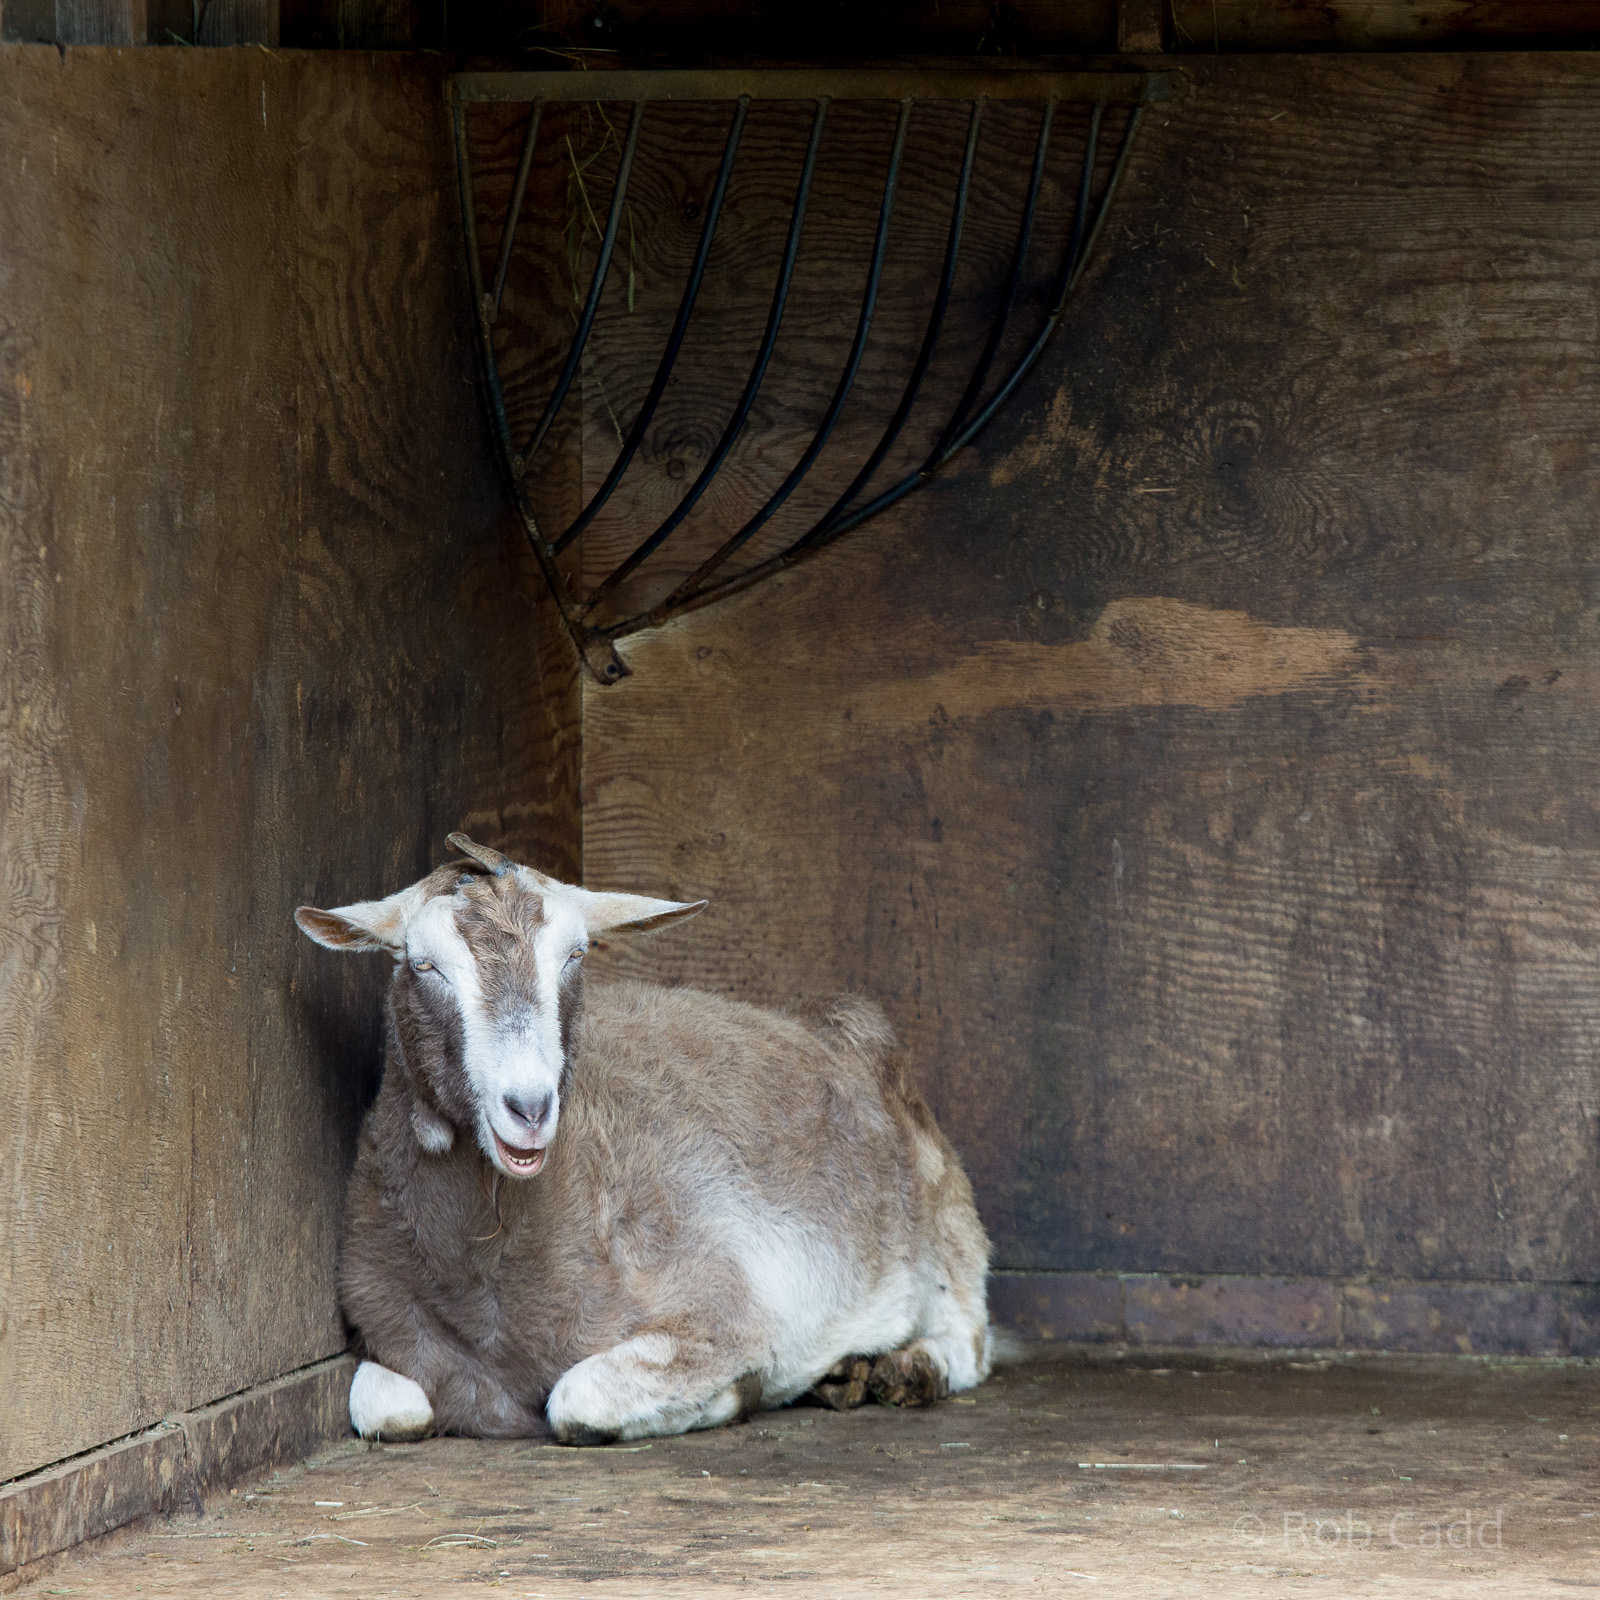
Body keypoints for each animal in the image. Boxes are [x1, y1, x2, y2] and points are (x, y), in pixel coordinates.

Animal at [295, 834, 992, 1444]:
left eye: (574, 956)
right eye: (423, 964)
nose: (528, 1107)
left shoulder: (725, 1307)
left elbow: (578, 1400)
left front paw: (738, 1395)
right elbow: (387, 1407)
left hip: (945, 1226)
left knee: (969, 1335)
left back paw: (906, 1369)